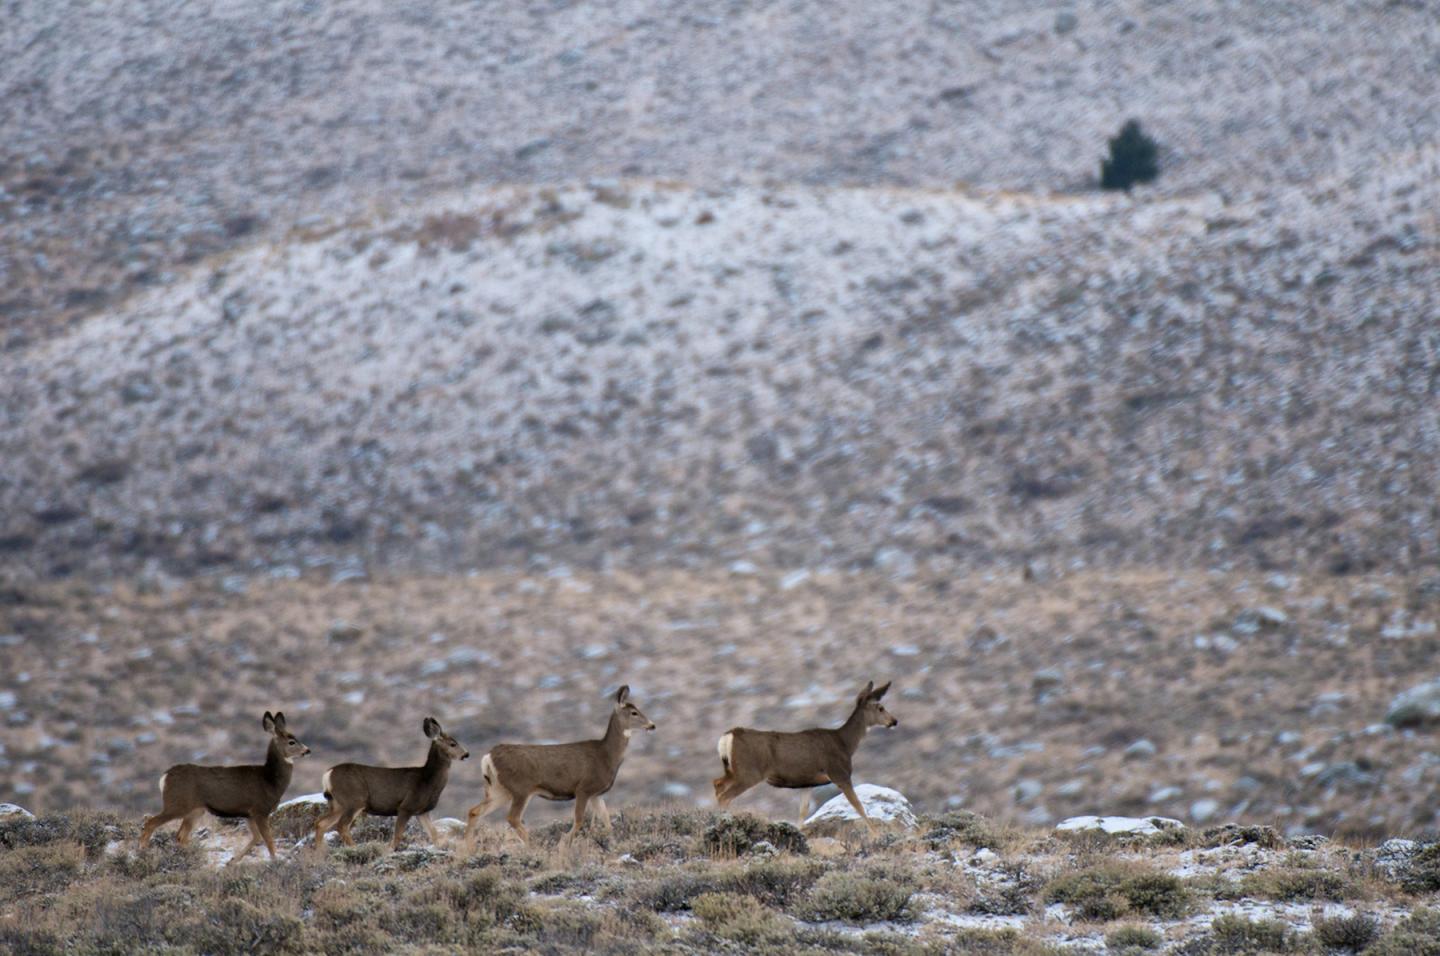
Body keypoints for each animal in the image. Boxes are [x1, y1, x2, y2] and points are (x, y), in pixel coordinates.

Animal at [137, 705, 309, 863]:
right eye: (291, 742)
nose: (307, 750)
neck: (270, 780)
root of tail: (165, 777)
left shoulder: (249, 814)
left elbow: (257, 838)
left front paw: (232, 861)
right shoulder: (260, 809)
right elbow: (268, 840)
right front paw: (275, 860)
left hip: (195, 810)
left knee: (180, 836)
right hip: (177, 803)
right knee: (151, 822)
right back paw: (142, 852)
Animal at [315, 717, 472, 852]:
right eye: (453, 744)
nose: (466, 754)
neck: (427, 780)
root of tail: (328, 773)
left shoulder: (422, 811)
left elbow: (434, 835)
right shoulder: (406, 806)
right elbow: (397, 836)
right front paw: (387, 851)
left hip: (337, 803)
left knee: (321, 823)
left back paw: (319, 853)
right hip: (354, 799)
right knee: (341, 825)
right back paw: (355, 848)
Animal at [463, 682, 656, 846]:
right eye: (634, 712)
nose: (652, 725)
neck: (606, 755)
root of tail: (488, 756)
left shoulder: (596, 794)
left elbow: (607, 821)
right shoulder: (583, 788)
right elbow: (579, 820)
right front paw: (563, 844)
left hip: (499, 789)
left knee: (474, 811)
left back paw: (467, 849)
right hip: (521, 788)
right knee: (512, 817)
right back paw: (532, 847)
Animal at [711, 679, 898, 829]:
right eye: (881, 708)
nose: (894, 721)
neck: (845, 743)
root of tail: (729, 736)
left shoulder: (807, 783)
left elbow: (803, 812)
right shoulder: (840, 774)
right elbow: (858, 806)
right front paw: (876, 835)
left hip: (733, 770)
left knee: (717, 783)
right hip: (749, 772)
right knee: (725, 795)